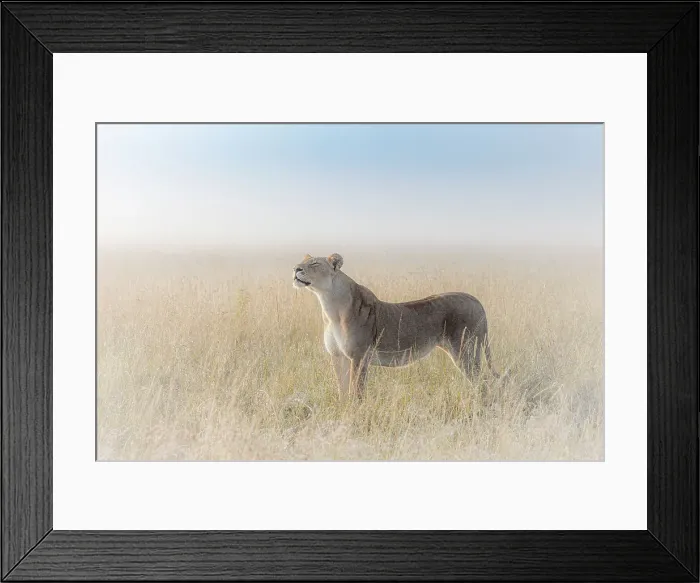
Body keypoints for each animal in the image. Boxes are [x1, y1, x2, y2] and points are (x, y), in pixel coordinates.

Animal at [293, 253, 499, 398]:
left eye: (315, 264)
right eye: (303, 261)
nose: (295, 269)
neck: (330, 307)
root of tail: (475, 299)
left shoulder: (359, 357)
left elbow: (356, 391)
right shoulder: (338, 356)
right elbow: (342, 389)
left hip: (465, 349)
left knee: (483, 380)